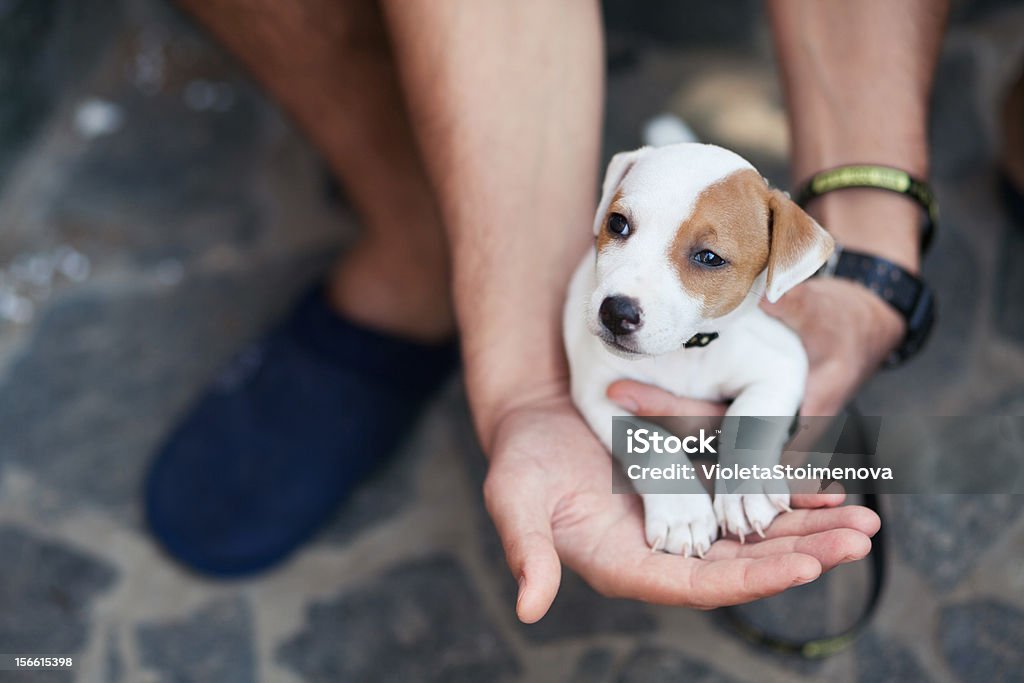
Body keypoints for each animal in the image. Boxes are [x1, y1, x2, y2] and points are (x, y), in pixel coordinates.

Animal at [565, 141, 835, 557]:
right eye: (617, 224)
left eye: (709, 257)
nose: (616, 312)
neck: (684, 351)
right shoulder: (599, 390)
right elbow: (650, 441)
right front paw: (682, 513)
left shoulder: (781, 362)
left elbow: (749, 418)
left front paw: (744, 490)